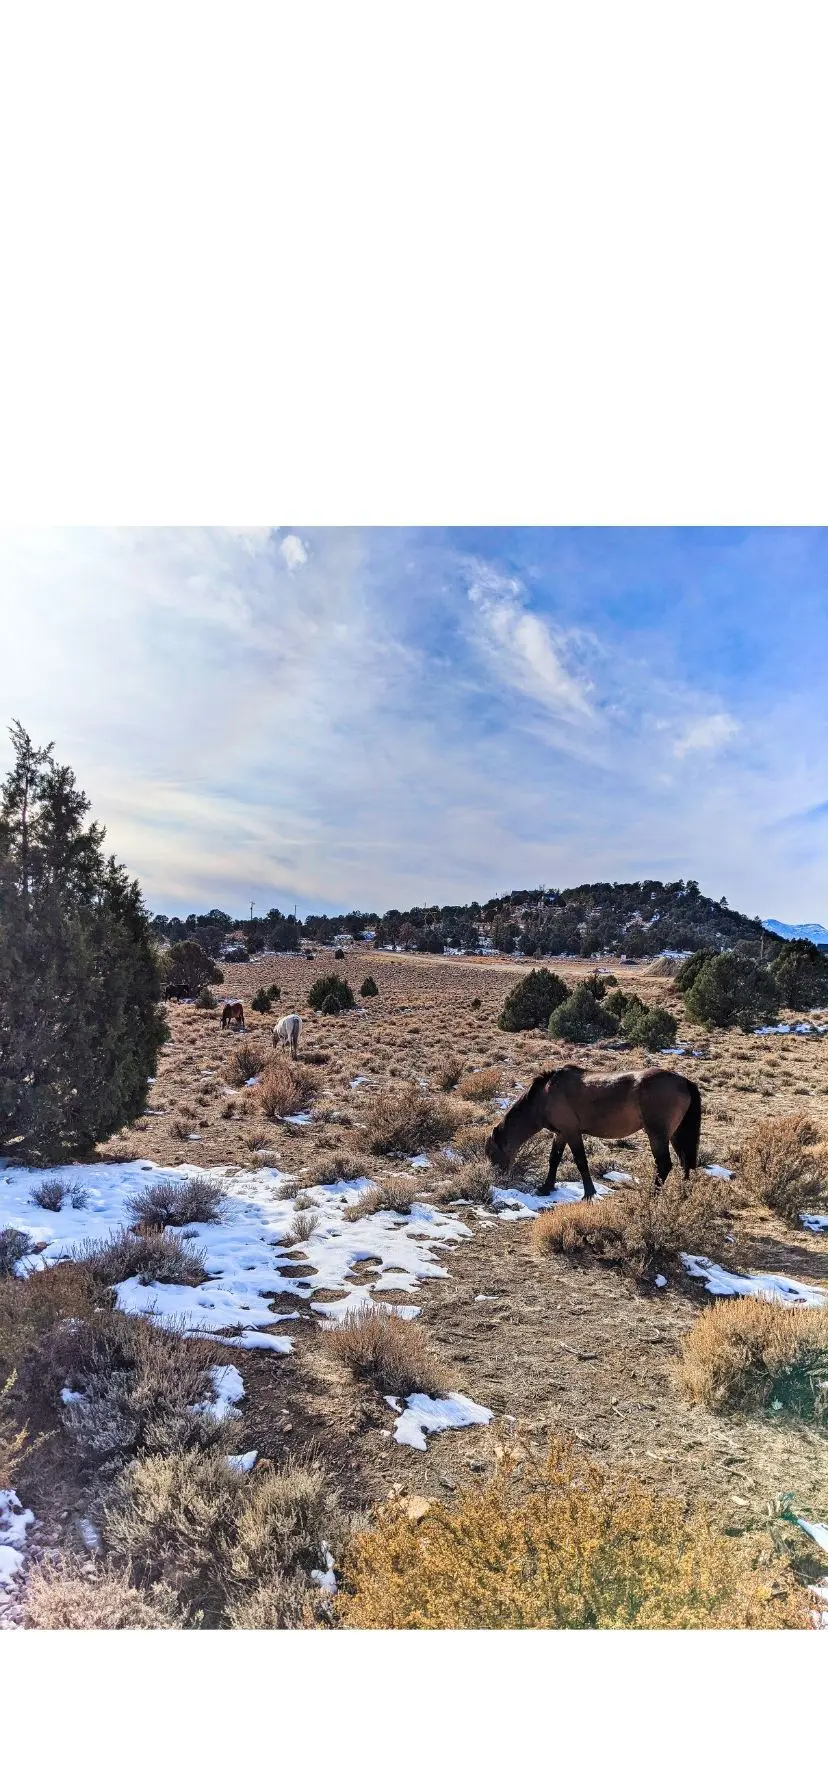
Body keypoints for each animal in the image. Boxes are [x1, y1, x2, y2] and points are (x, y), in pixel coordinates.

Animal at [483, 1060, 706, 1204]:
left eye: (492, 1154)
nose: (498, 1179)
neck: (544, 1095)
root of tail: (683, 1081)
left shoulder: (572, 1132)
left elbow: (581, 1161)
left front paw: (588, 1193)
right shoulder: (561, 1133)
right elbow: (554, 1159)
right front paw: (546, 1188)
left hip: (657, 1134)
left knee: (664, 1164)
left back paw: (652, 1198)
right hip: (675, 1134)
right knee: (685, 1162)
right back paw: (683, 1197)